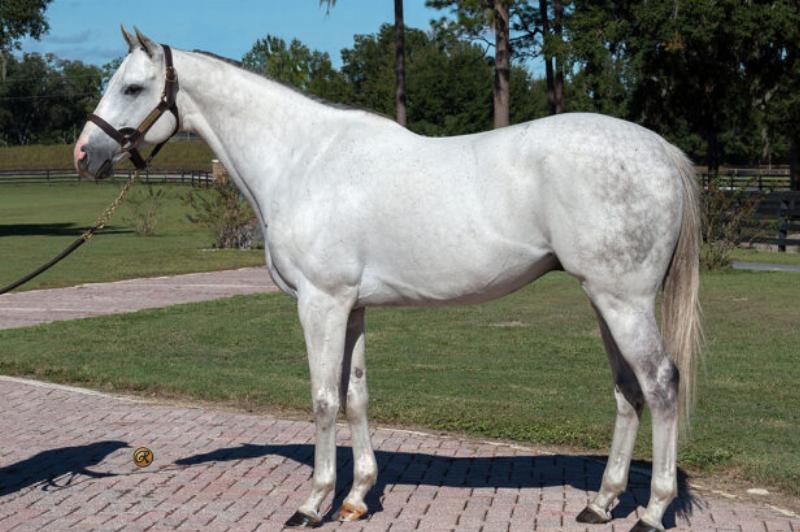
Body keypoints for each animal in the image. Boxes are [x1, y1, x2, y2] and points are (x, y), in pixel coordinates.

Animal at [74, 27, 702, 532]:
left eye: (133, 88)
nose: (84, 154)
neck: (302, 158)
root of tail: (661, 150)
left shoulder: (320, 303)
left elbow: (323, 400)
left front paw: (314, 504)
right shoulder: (351, 307)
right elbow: (356, 398)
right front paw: (356, 497)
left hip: (624, 302)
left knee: (661, 385)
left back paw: (652, 511)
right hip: (603, 299)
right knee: (627, 392)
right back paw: (602, 503)